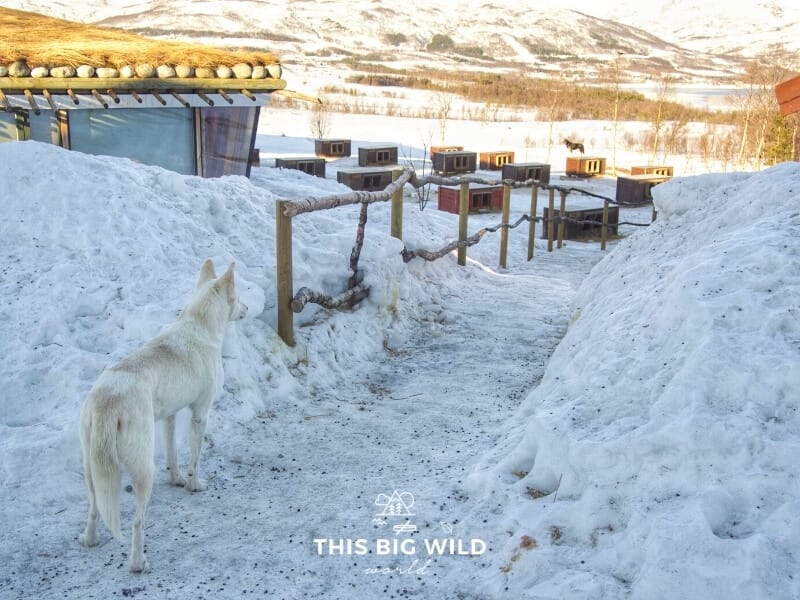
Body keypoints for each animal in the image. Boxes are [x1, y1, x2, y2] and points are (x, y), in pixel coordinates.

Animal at [79, 260, 247, 576]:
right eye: (239, 296)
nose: (247, 308)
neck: (198, 323)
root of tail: (108, 400)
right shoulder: (200, 415)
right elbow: (194, 459)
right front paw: (194, 484)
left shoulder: (170, 416)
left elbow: (172, 454)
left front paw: (177, 479)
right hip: (143, 468)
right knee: (137, 521)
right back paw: (137, 562)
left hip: (91, 467)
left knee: (94, 508)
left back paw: (90, 539)